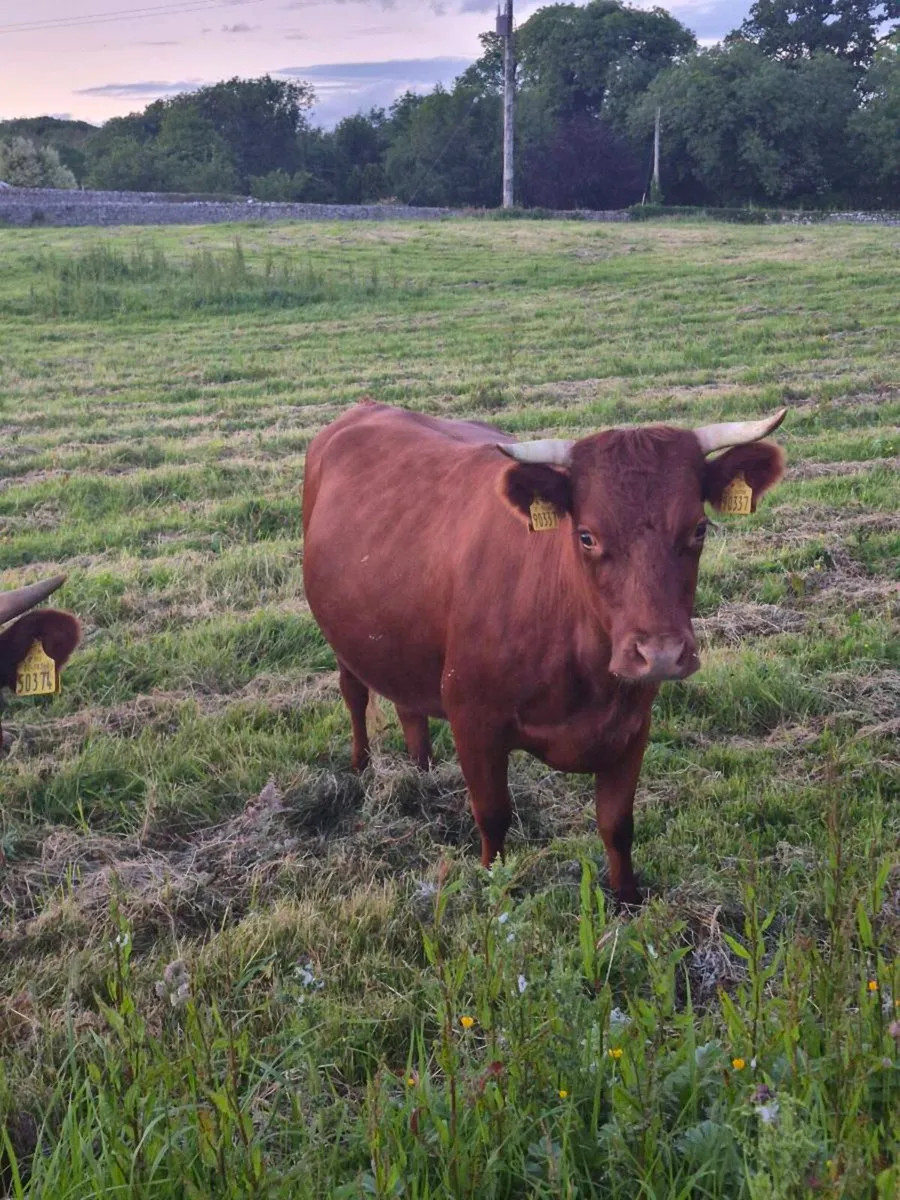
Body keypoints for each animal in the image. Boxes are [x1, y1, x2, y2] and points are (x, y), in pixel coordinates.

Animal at [302, 401, 786, 903]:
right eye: (587, 536)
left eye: (699, 529)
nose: (661, 655)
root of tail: (367, 408)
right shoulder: (473, 720)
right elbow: (494, 816)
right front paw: (494, 890)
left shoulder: (633, 725)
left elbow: (617, 824)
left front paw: (629, 899)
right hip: (342, 638)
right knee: (354, 694)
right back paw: (362, 767)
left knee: (408, 707)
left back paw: (422, 773)